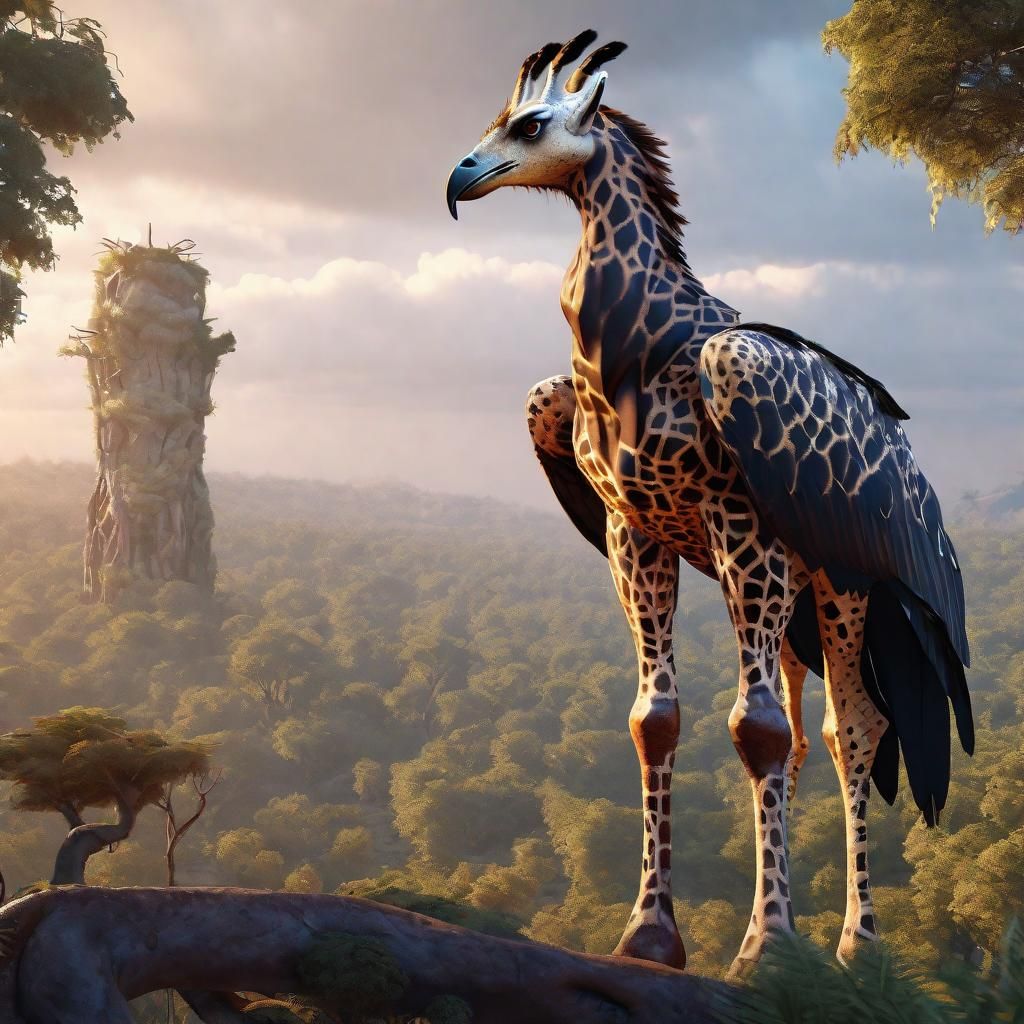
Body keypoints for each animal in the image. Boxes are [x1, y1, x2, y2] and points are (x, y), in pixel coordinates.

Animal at [447, 32, 973, 973]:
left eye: (530, 124)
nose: (461, 177)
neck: (633, 344)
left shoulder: (748, 531)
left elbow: (756, 729)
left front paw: (767, 946)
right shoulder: (635, 530)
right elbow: (656, 720)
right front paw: (651, 930)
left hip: (871, 583)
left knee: (855, 728)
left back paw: (857, 945)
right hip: (809, 598)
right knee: (817, 726)